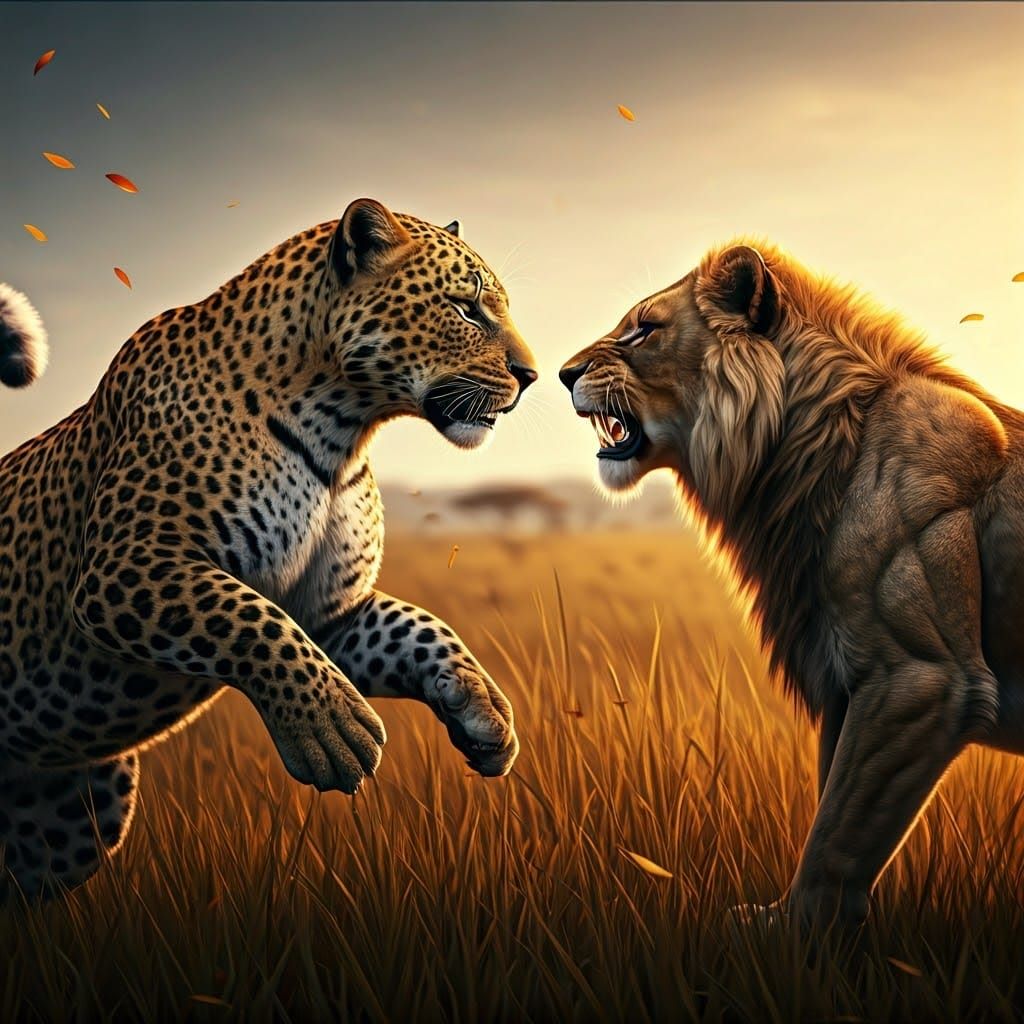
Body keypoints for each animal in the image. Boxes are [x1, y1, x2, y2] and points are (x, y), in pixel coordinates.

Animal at [0, 198, 536, 901]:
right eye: (467, 308)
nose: (532, 376)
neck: (341, 430)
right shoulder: (127, 567)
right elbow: (249, 619)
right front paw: (331, 731)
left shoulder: (329, 614)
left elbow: (421, 626)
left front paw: (483, 709)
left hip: (76, 813)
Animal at [559, 240, 1024, 930]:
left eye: (645, 328)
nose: (563, 375)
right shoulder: (844, 677)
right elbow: (837, 801)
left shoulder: (918, 679)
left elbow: (837, 833)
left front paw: (786, 927)